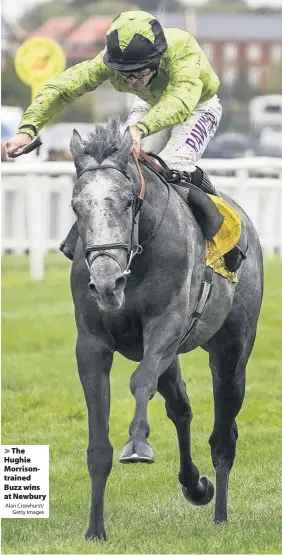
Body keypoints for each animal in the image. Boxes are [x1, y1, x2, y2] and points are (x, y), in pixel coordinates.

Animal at [69, 118, 264, 544]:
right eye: (76, 206)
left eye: (128, 202)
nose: (105, 284)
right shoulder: (92, 344)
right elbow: (98, 443)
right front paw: (94, 530)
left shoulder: (165, 325)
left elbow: (140, 381)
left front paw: (138, 443)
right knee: (181, 409)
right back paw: (196, 485)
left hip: (232, 348)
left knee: (224, 431)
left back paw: (220, 512)